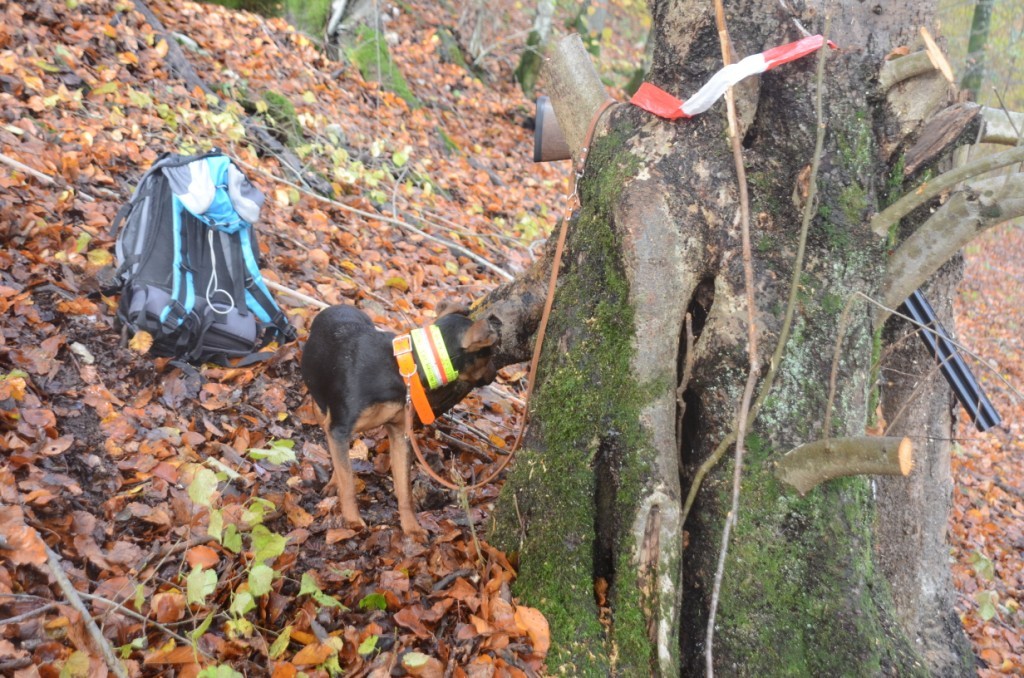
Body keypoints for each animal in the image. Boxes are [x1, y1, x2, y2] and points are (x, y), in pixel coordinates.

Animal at [299, 305, 495, 540]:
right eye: (490, 354)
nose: (495, 375)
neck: (406, 366)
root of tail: (337, 306)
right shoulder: (339, 427)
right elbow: (348, 484)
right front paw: (352, 521)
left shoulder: (400, 433)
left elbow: (404, 489)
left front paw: (412, 528)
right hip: (320, 407)